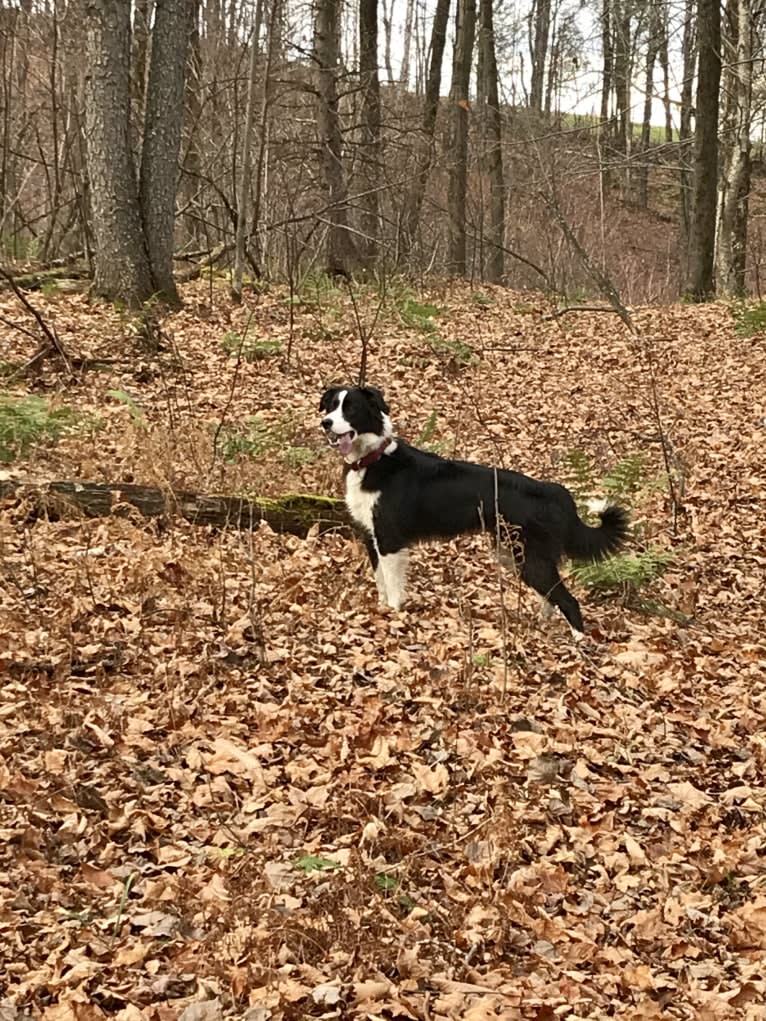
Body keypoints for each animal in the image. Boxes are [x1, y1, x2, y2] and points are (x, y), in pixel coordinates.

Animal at [320, 383, 625, 637]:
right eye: (332, 406)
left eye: (351, 408)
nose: (325, 423)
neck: (373, 459)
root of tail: (553, 491)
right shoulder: (370, 535)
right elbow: (380, 580)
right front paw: (381, 610)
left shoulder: (389, 539)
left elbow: (393, 586)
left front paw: (392, 617)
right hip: (512, 554)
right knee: (551, 595)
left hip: (529, 558)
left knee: (570, 601)